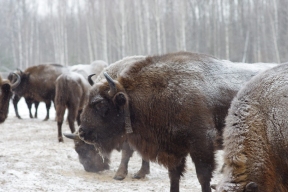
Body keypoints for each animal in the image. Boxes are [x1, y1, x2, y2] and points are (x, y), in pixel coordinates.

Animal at [73, 51, 276, 192]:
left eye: (99, 104)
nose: (82, 132)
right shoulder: (172, 149)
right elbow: (174, 176)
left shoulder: (201, 145)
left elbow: (203, 176)